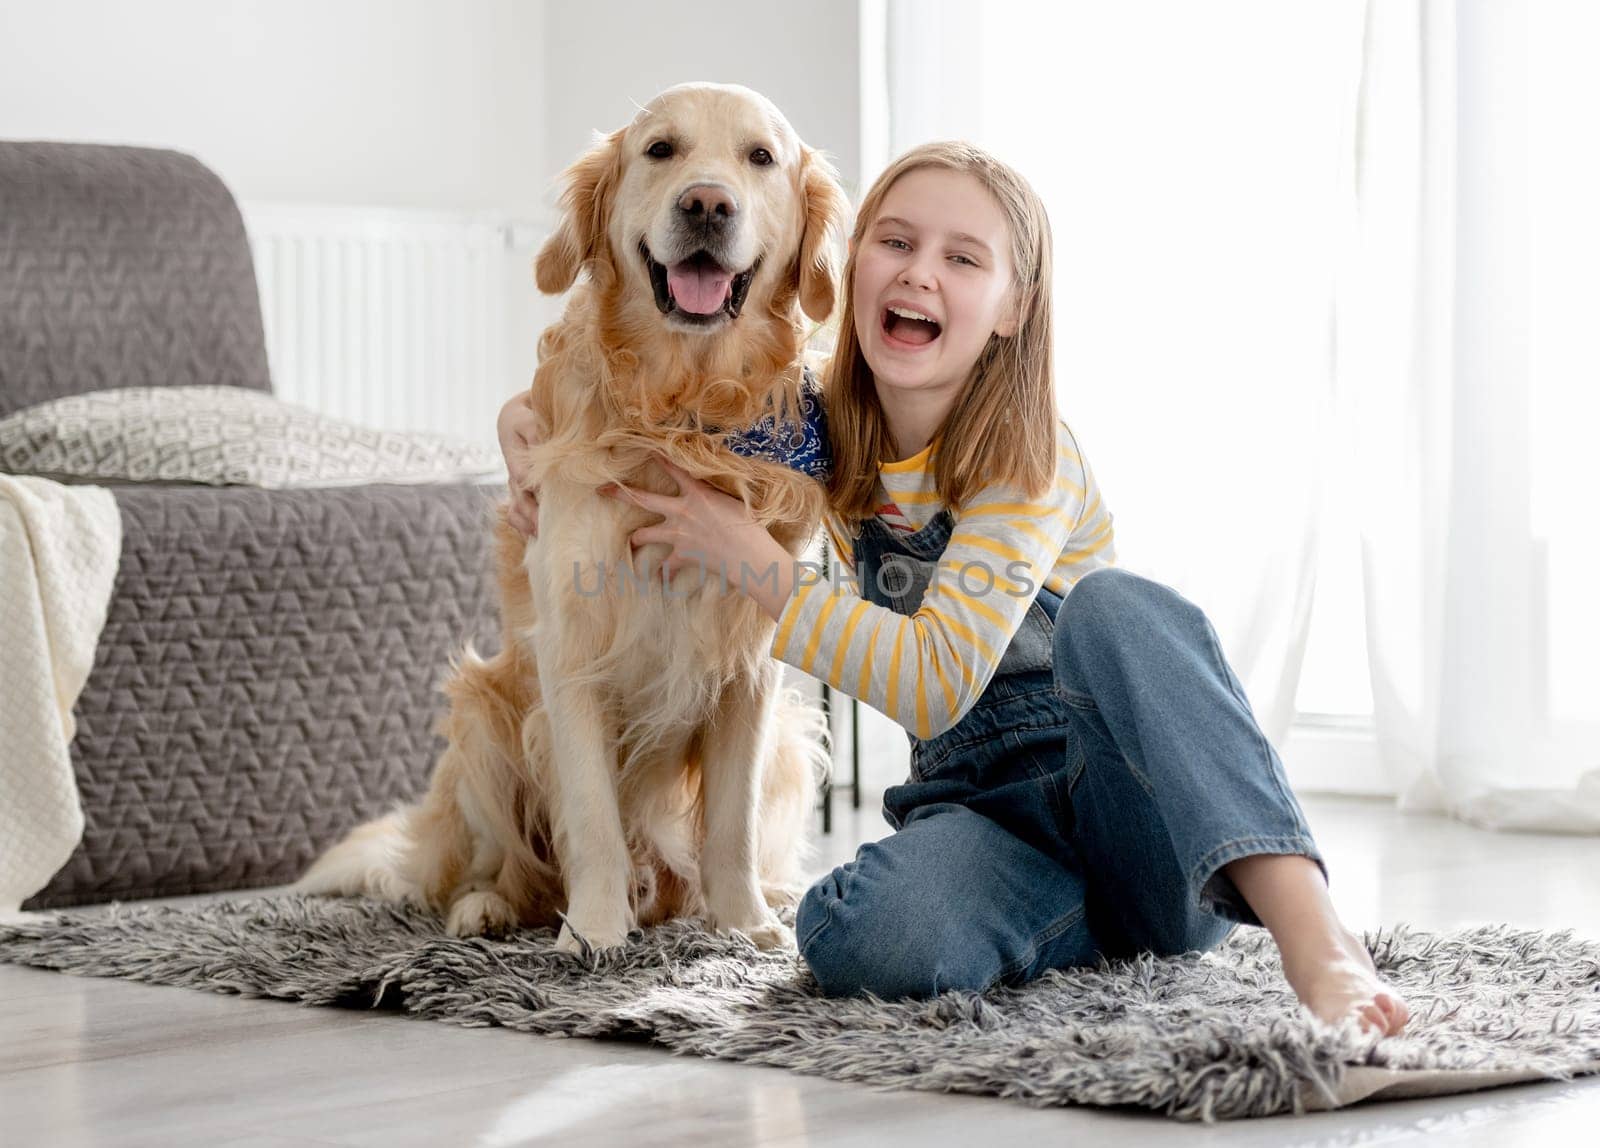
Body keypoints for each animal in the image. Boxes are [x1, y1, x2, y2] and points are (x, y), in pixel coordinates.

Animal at [296, 85, 857, 959]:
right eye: (661, 150)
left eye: (760, 158)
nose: (706, 204)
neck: (681, 411)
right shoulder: (573, 648)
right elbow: (591, 815)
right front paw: (592, 934)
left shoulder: (749, 658)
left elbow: (729, 825)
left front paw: (746, 927)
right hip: (482, 715)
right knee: (496, 869)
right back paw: (489, 907)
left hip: (794, 744)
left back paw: (761, 895)